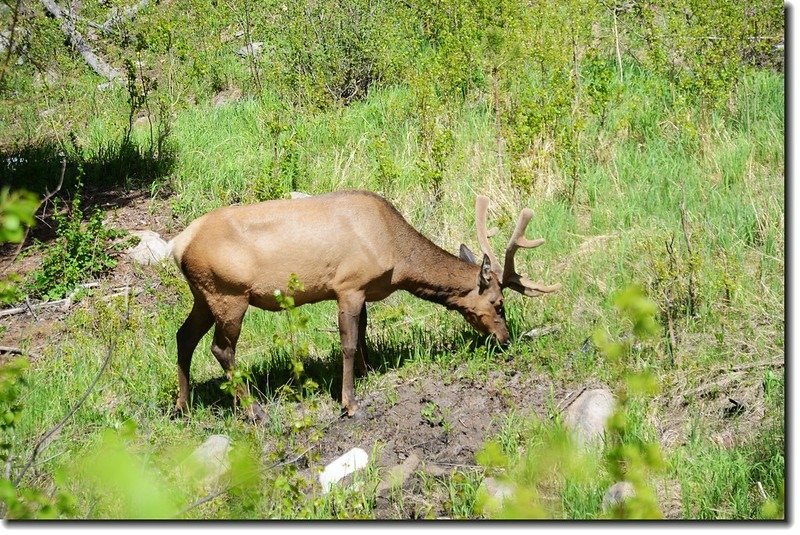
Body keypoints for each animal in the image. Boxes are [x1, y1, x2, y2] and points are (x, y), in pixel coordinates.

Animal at [169, 191, 556, 420]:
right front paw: (349, 401)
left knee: (183, 337)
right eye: (499, 302)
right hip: (229, 294)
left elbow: (365, 332)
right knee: (221, 348)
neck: (397, 257)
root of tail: (178, 245)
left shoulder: (365, 289)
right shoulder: (348, 285)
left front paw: (367, 373)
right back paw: (251, 410)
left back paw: (182, 406)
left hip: (203, 295)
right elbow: (350, 343)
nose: (505, 339)